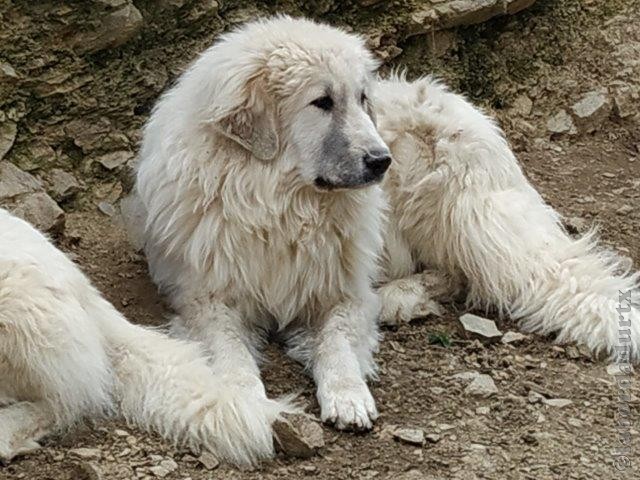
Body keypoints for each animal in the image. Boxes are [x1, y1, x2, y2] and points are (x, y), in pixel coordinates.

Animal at [134, 14, 636, 464]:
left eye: (361, 99)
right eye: (322, 102)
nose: (381, 160)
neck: (281, 205)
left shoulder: (343, 293)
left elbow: (336, 344)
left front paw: (347, 395)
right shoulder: (208, 301)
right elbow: (232, 356)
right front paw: (248, 399)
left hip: (460, 211)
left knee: (463, 272)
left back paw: (397, 298)